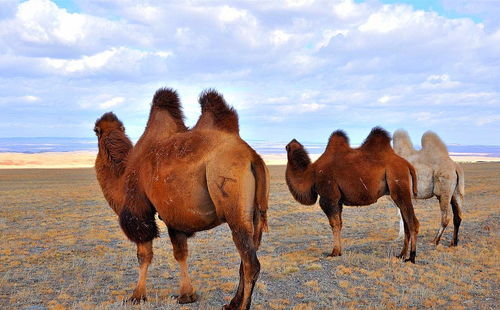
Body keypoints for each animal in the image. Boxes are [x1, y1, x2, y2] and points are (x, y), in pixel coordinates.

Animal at [96, 88, 270, 308]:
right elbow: (181, 253)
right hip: (255, 214)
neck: (123, 172)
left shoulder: (139, 209)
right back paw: (231, 303)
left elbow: (144, 254)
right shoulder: (174, 214)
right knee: (246, 257)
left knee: (250, 262)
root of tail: (253, 156)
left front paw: (137, 296)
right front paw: (187, 295)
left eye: (96, 130)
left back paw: (241, 306)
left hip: (232, 200)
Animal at [286, 127, 422, 262]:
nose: (291, 142)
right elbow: (340, 223)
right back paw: (401, 255)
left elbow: (334, 224)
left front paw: (334, 252)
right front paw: (339, 252)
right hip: (398, 192)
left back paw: (412, 257)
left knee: (412, 223)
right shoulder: (338, 200)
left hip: (399, 185)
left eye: (287, 147)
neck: (311, 174)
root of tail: (408, 165)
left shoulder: (328, 197)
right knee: (406, 223)